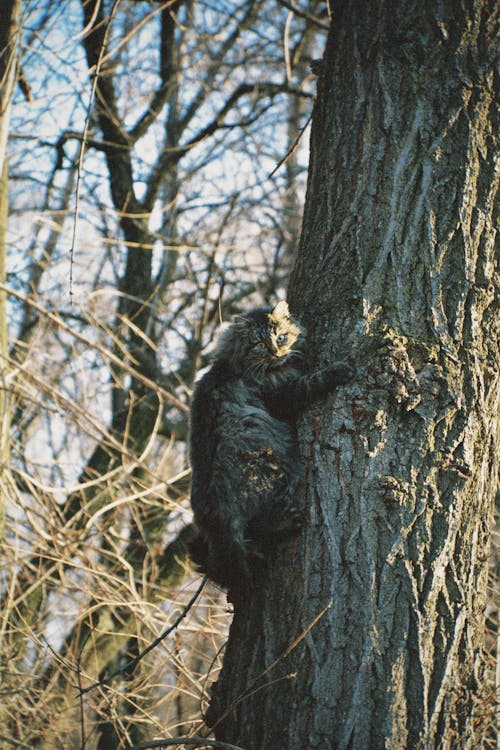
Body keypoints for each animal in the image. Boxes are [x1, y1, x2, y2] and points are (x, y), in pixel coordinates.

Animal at [188, 300, 352, 592]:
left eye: (281, 337)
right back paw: (287, 523)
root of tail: (216, 518)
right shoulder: (283, 394)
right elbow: (310, 382)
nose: (277, 351)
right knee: (262, 522)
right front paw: (338, 371)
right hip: (272, 465)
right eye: (260, 344)